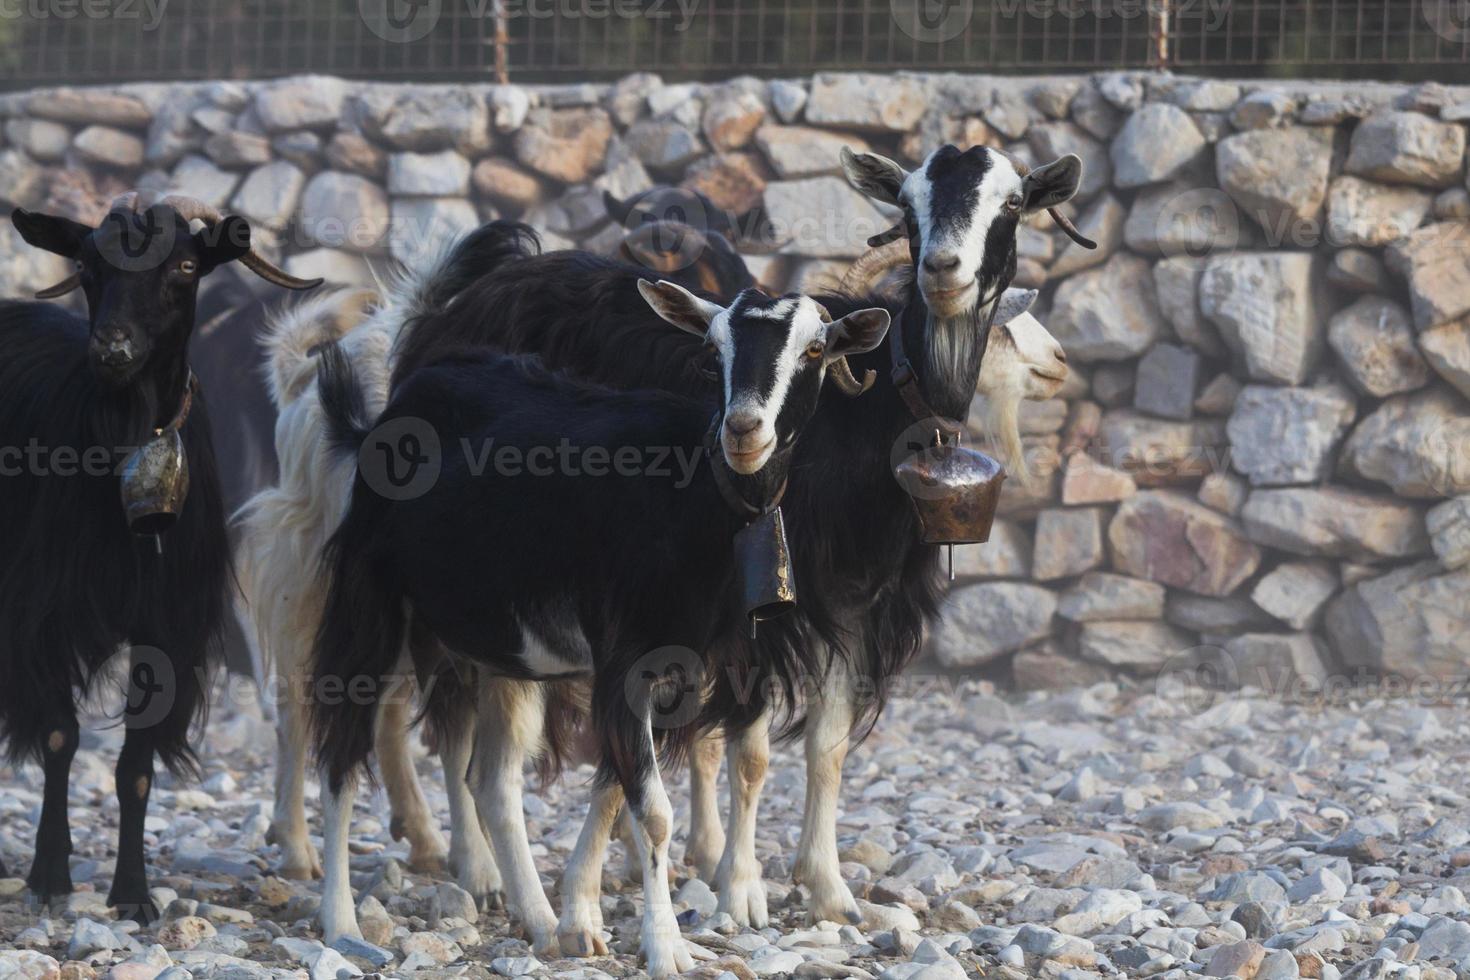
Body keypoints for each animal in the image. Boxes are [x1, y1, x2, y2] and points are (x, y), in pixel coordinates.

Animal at [307, 258, 882, 975]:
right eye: (713, 348)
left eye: (814, 350)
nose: (745, 429)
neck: (693, 496)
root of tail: (386, 415)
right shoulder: (627, 659)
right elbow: (653, 810)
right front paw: (666, 948)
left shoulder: (669, 667)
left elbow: (615, 788)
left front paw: (587, 921)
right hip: (372, 603)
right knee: (340, 753)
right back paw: (339, 921)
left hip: (503, 651)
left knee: (492, 781)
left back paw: (538, 921)